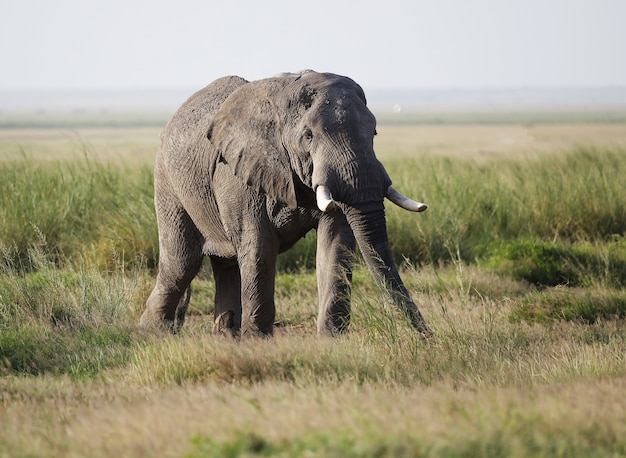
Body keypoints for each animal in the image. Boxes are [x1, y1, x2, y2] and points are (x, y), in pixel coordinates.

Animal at [139, 70, 428, 338]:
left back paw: (225, 339)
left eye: (375, 132)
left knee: (225, 265)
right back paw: (153, 333)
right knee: (181, 264)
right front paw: (257, 343)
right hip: (168, 182)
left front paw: (331, 342)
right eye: (308, 136)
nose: (427, 336)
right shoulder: (238, 173)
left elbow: (335, 243)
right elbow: (259, 246)